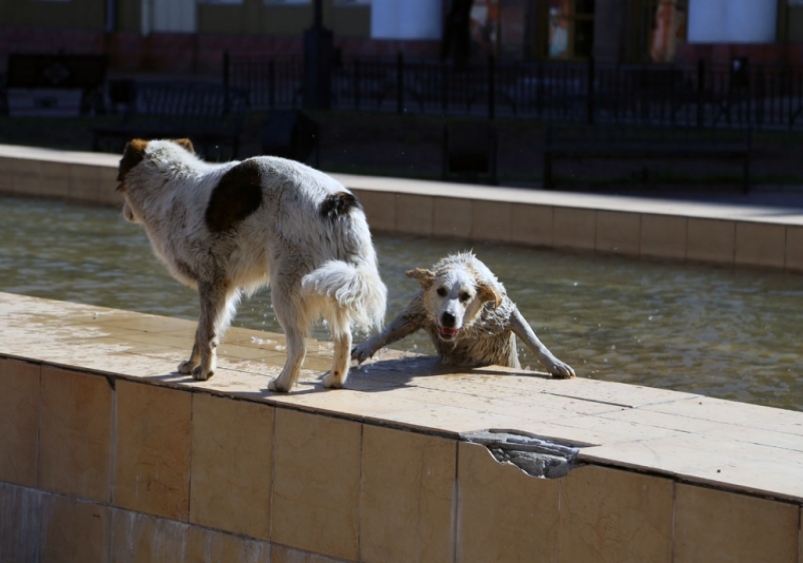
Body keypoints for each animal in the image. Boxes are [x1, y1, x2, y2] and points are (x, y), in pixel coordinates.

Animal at [115, 138, 386, 392]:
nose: (124, 213)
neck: (170, 186)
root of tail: (335, 201)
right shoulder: (221, 288)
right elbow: (202, 330)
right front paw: (192, 365)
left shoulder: (211, 281)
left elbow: (206, 332)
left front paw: (203, 372)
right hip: (331, 283)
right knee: (344, 338)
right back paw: (333, 380)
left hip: (288, 287)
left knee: (299, 345)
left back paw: (282, 384)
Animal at [352, 252, 572, 378]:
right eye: (441, 291)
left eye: (466, 296)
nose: (449, 317)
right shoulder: (419, 310)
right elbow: (390, 330)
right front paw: (365, 347)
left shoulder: (503, 312)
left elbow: (533, 340)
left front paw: (555, 364)